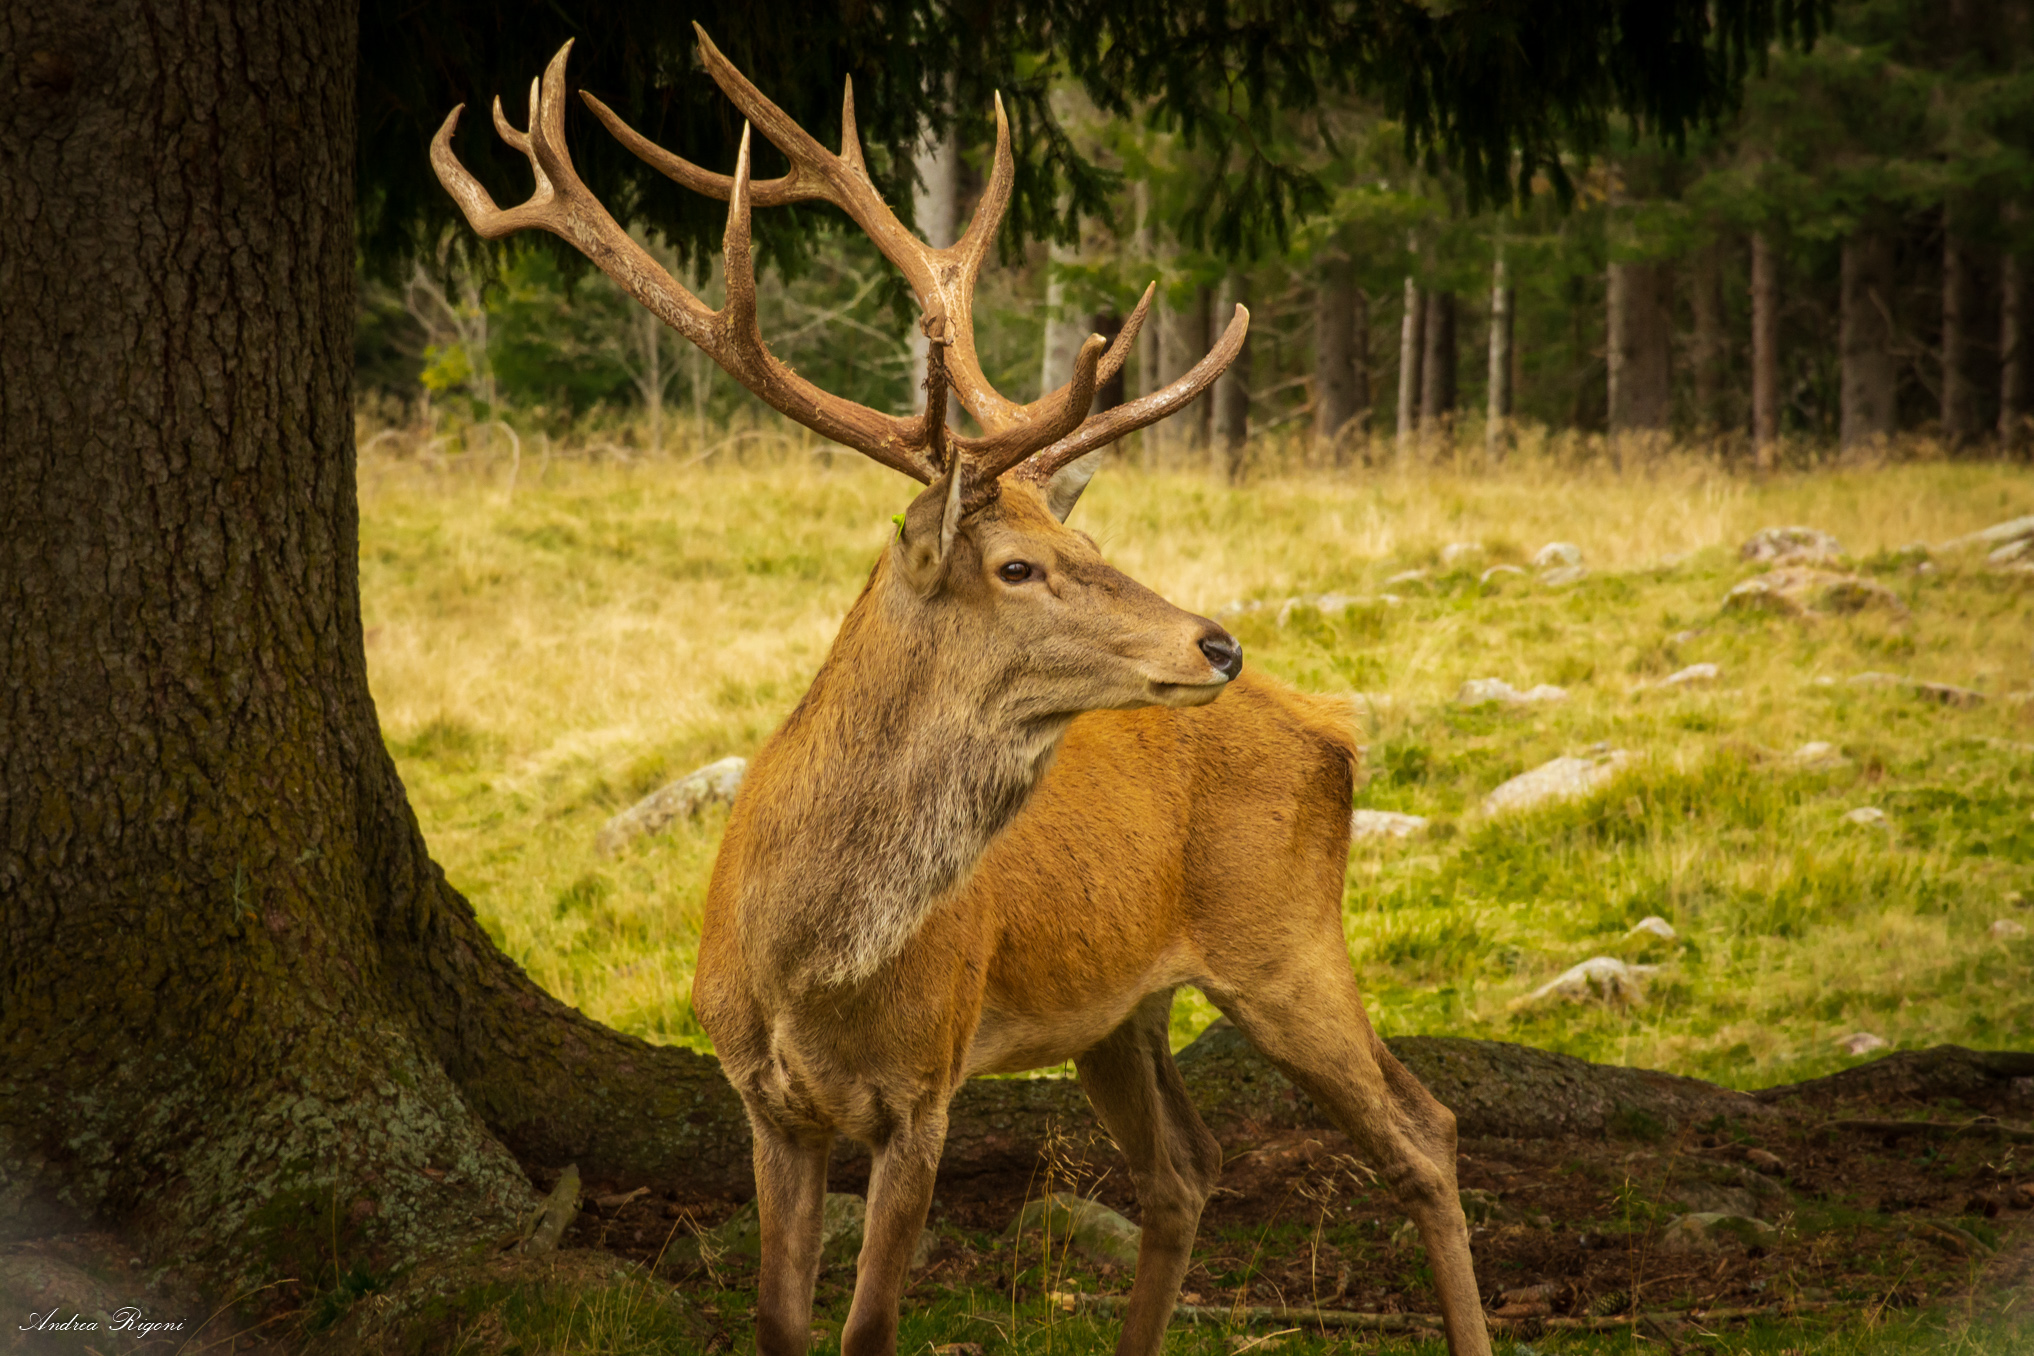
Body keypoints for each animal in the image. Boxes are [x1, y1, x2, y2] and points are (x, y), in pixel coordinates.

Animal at [431, 31, 1493, 1356]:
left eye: (1077, 538)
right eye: (1021, 564)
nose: (1217, 644)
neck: (805, 967)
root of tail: (1335, 728)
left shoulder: (925, 1090)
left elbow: (869, 1327)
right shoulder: (764, 1102)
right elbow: (780, 1322)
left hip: (1287, 935)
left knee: (1423, 1131)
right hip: (1123, 1011)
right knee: (1184, 1171)